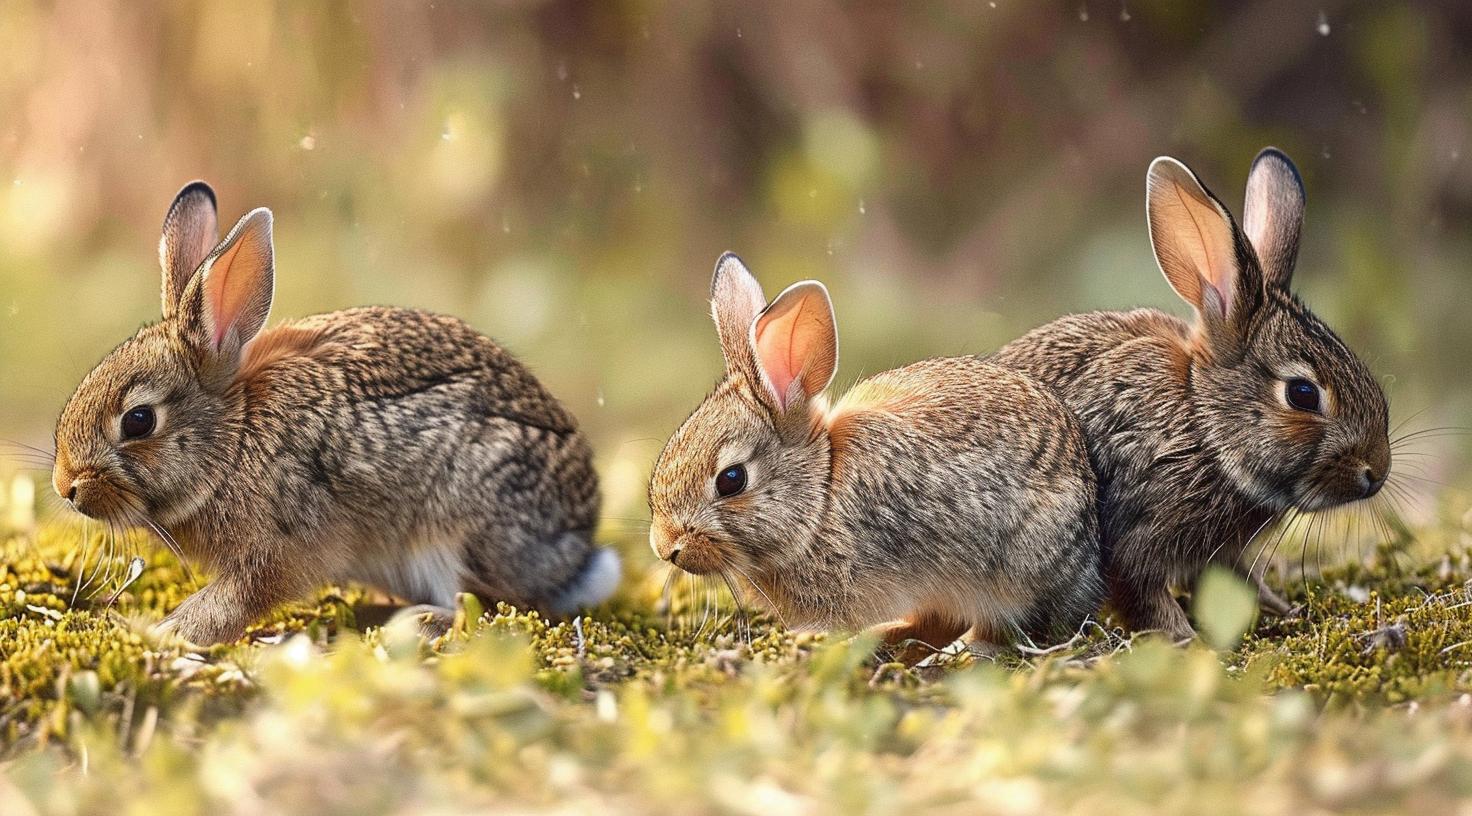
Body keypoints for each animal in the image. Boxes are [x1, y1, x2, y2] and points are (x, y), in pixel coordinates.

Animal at [51, 179, 615, 642]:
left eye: (138, 420)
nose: (66, 487)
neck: (234, 439)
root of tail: (578, 547)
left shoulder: (277, 551)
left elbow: (234, 601)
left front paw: (167, 631)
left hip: (465, 520)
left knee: (486, 603)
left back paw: (418, 621)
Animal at [989, 149, 1389, 639]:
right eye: (1302, 394)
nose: (1378, 471)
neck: (1204, 424)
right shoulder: (1135, 536)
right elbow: (1144, 594)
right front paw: (1186, 640)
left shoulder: (1222, 554)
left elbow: (1243, 581)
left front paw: (1287, 610)